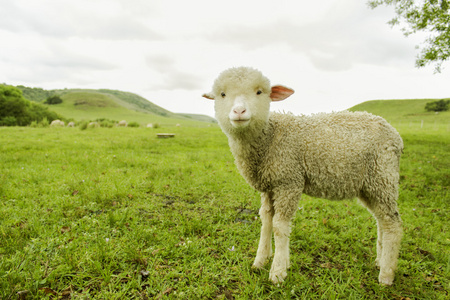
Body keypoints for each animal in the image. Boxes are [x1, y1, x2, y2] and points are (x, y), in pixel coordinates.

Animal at [202, 67, 402, 284]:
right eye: (222, 94)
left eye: (259, 92)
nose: (239, 112)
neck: (269, 137)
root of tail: (394, 134)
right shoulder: (269, 186)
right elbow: (266, 221)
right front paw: (261, 260)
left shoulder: (289, 182)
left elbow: (279, 226)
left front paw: (278, 271)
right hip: (370, 185)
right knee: (381, 220)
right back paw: (380, 261)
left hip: (383, 176)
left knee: (393, 224)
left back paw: (386, 275)